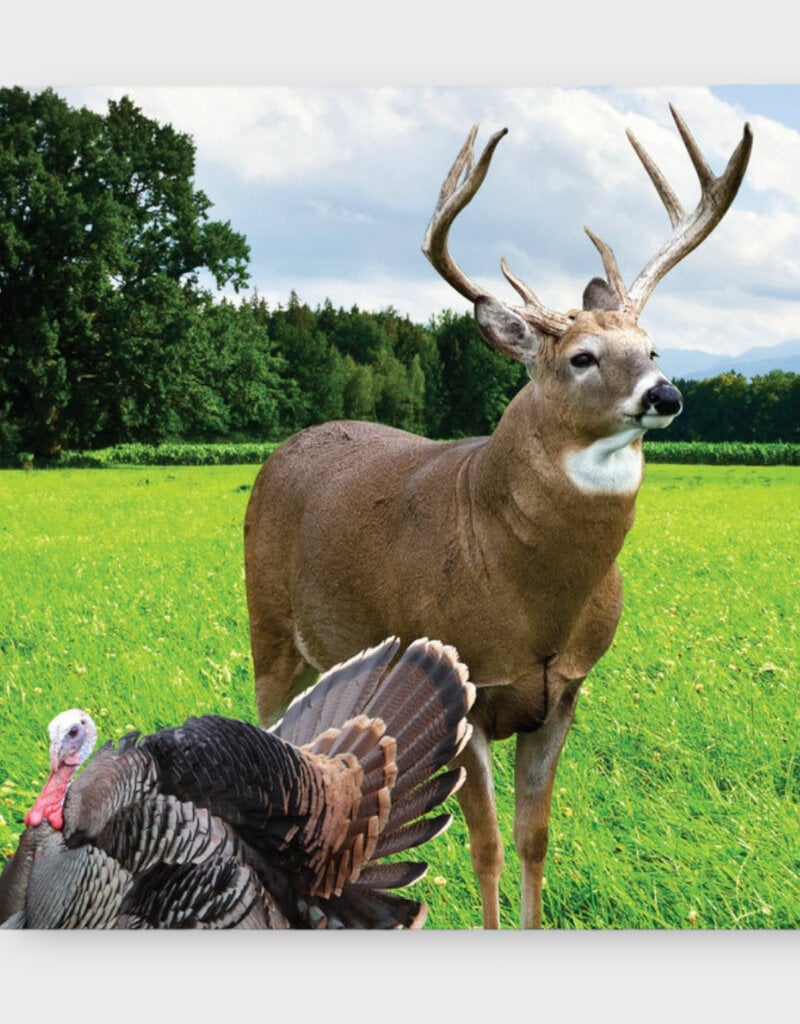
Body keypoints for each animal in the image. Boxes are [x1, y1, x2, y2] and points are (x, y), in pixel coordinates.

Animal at [243, 105, 752, 929]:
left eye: (652, 347)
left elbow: (532, 838)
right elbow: (483, 847)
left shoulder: (565, 692)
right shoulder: (471, 684)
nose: (666, 394)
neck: (531, 596)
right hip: (267, 624)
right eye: (581, 356)